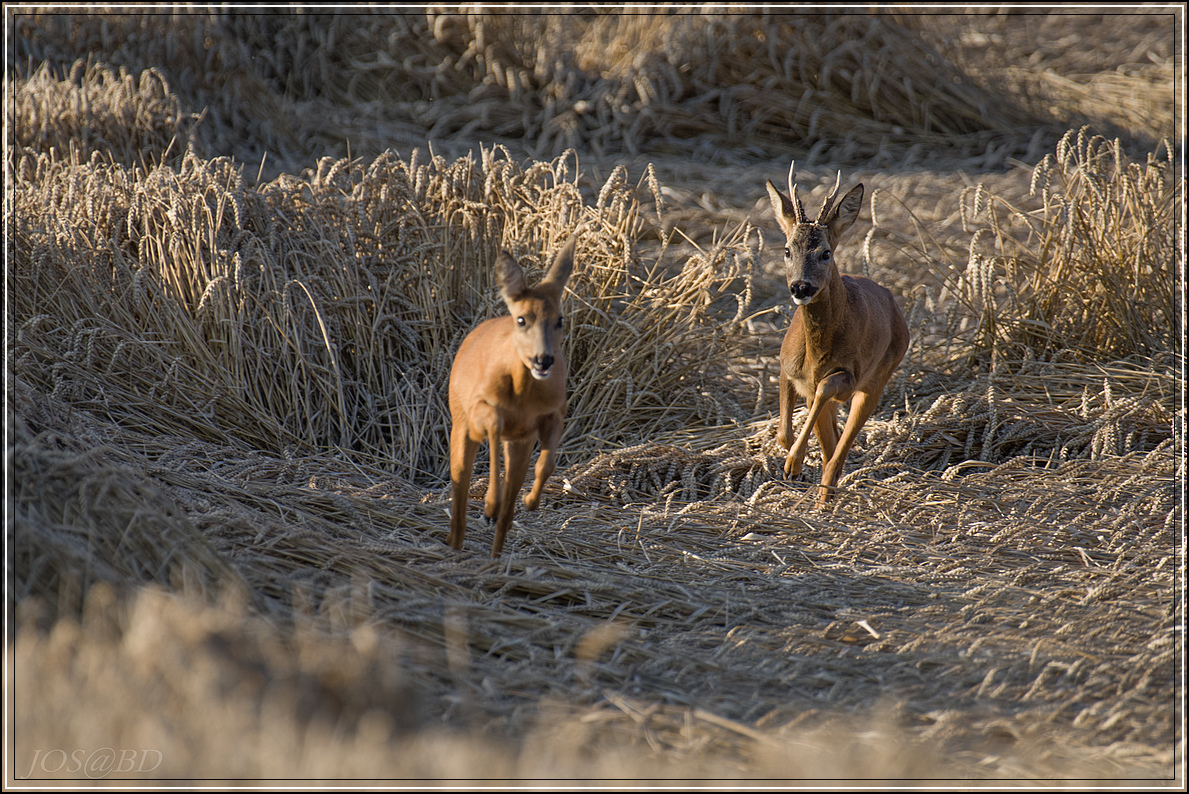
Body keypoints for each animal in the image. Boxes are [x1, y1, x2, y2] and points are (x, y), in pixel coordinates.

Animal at [447, 235, 575, 558]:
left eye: (560, 320)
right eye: (521, 320)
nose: (544, 359)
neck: (521, 397)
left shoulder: (553, 415)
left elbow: (547, 463)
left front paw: (531, 502)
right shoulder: (478, 412)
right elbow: (493, 426)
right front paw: (489, 505)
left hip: (518, 444)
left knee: (505, 516)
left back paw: (494, 556)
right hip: (460, 424)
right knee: (459, 492)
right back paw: (458, 543)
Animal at [765, 164, 903, 506]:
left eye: (825, 253)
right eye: (787, 250)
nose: (801, 287)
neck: (815, 353)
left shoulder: (848, 376)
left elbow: (827, 388)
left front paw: (793, 462)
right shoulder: (787, 368)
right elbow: (783, 433)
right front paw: (791, 457)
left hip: (877, 378)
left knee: (839, 451)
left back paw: (823, 500)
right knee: (832, 446)